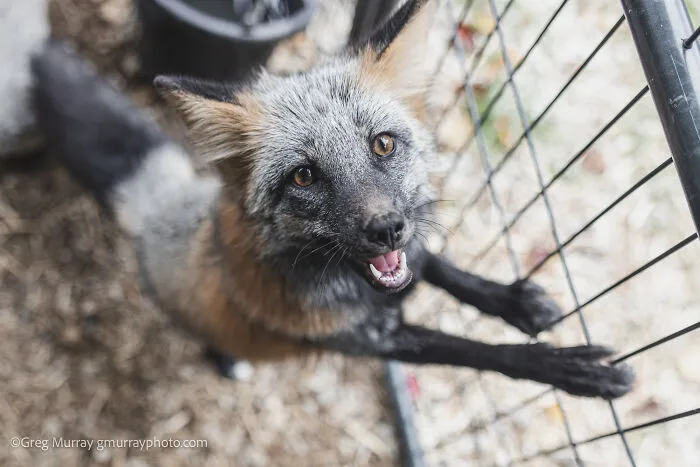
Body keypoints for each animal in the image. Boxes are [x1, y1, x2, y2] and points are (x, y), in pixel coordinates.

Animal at [31, 0, 634, 399]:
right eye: (303, 176)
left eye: (382, 144)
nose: (385, 229)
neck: (359, 292)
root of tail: (165, 202)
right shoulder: (375, 342)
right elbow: (477, 352)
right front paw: (572, 372)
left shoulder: (409, 256)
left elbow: (442, 267)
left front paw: (515, 302)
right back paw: (228, 360)